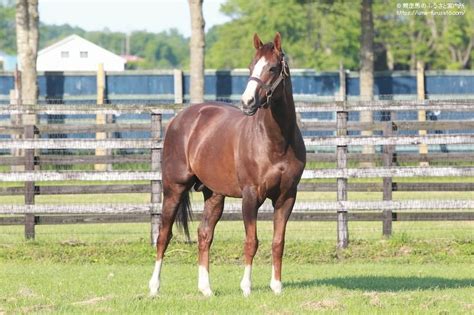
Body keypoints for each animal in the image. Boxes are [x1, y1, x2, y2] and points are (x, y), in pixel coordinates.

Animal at [149, 33, 308, 298]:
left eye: (272, 68)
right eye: (251, 66)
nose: (247, 102)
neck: (276, 141)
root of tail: (179, 119)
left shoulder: (287, 197)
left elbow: (278, 242)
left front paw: (277, 286)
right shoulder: (250, 196)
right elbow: (251, 241)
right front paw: (246, 287)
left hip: (214, 195)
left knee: (204, 234)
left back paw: (206, 289)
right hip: (174, 189)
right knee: (163, 234)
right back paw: (154, 287)